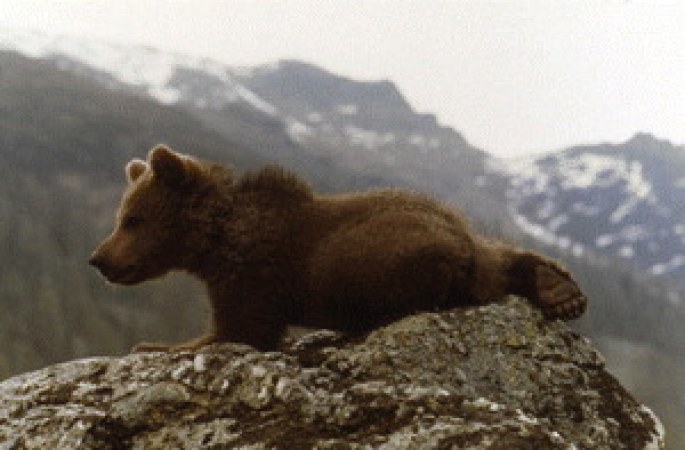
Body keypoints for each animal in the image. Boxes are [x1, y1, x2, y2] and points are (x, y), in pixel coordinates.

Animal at [89, 144, 587, 352]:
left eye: (132, 219)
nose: (98, 259)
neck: (214, 243)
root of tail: (456, 239)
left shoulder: (255, 273)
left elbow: (240, 329)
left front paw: (154, 345)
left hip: (367, 256)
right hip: (448, 224)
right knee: (493, 257)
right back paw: (559, 290)